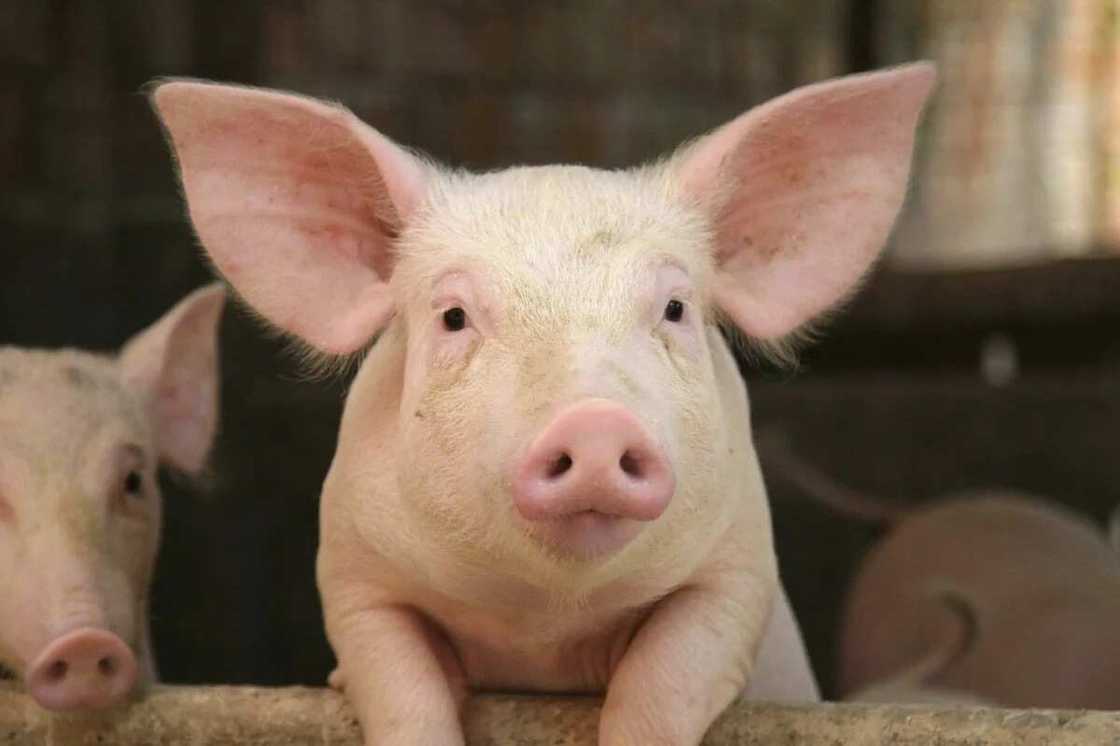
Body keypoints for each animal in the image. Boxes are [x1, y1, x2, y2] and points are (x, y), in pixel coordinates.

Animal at [150, 63, 935, 745]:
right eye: (454, 317)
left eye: (675, 308)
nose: (594, 423)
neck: (545, 624)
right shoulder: (353, 573)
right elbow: (400, 689)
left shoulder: (738, 569)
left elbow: (664, 682)